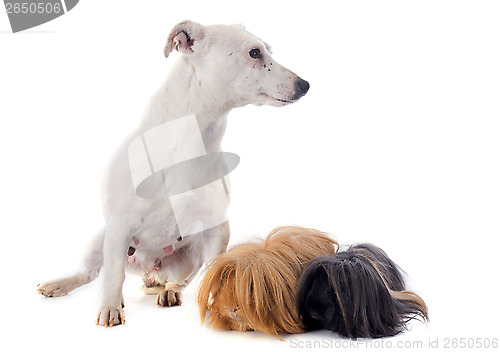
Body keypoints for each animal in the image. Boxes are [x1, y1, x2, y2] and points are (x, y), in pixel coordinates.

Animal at [37, 20, 308, 328]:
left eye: (269, 50)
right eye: (254, 52)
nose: (305, 85)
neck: (193, 139)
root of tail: (148, 273)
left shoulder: (217, 229)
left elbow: (214, 273)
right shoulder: (119, 226)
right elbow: (113, 274)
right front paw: (109, 308)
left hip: (188, 258)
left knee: (179, 281)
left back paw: (169, 292)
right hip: (100, 240)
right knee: (93, 273)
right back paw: (66, 285)